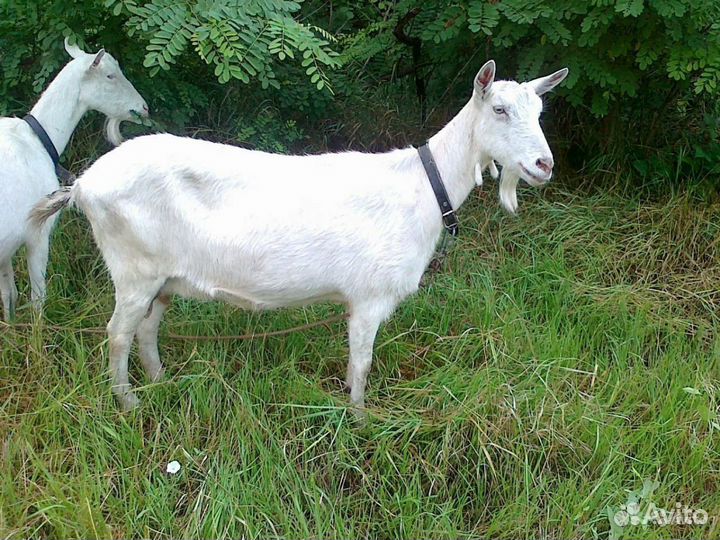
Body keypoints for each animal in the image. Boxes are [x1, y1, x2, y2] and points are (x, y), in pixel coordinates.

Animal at [0, 38, 148, 321]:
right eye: (110, 75)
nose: (143, 107)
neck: (37, 140)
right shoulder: (38, 232)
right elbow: (37, 298)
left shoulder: (6, 250)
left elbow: (8, 294)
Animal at [30, 60, 567, 412]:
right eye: (499, 110)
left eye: (541, 112)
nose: (544, 164)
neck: (421, 187)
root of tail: (85, 184)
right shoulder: (369, 298)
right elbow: (362, 364)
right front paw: (359, 420)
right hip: (133, 268)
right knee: (117, 334)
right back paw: (130, 404)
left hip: (163, 276)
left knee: (146, 329)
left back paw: (162, 383)